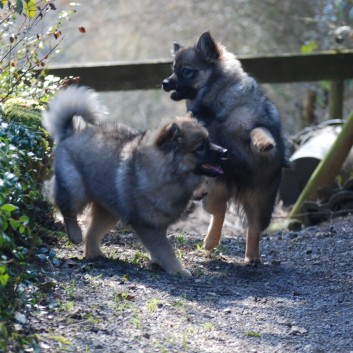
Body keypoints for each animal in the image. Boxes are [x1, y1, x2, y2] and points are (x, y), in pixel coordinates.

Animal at [42, 85, 227, 276]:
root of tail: (70, 134)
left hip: (109, 211)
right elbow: (165, 250)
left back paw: (95, 254)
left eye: (209, 141)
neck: (168, 174)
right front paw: (178, 270)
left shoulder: (158, 224)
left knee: (92, 232)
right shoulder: (149, 226)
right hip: (75, 188)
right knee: (66, 209)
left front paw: (160, 263)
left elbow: (159, 250)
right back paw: (75, 234)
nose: (225, 152)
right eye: (200, 148)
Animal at [162, 32, 288, 264]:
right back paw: (210, 241)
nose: (165, 82)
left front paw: (264, 143)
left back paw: (252, 256)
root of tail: (237, 186)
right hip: (217, 190)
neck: (216, 102)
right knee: (219, 212)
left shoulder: (255, 123)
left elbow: (258, 131)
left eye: (186, 71)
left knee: (253, 227)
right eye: (173, 69)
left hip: (261, 200)